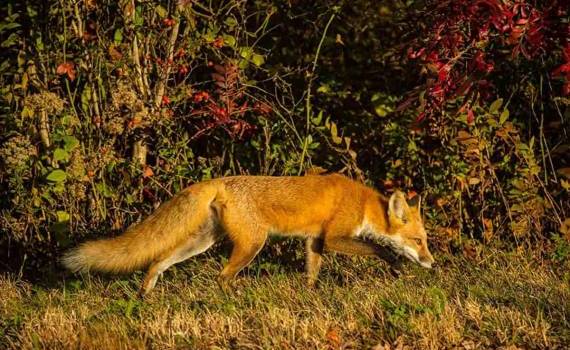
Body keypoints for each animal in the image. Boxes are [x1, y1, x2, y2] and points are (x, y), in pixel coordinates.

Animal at [62, 174, 432, 296]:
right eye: (418, 241)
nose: (432, 263)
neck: (365, 204)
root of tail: (219, 180)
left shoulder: (314, 241)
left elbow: (312, 273)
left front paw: (310, 297)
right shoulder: (333, 237)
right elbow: (380, 250)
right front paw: (397, 266)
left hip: (202, 242)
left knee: (158, 260)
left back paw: (145, 294)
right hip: (253, 244)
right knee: (223, 276)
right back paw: (234, 297)